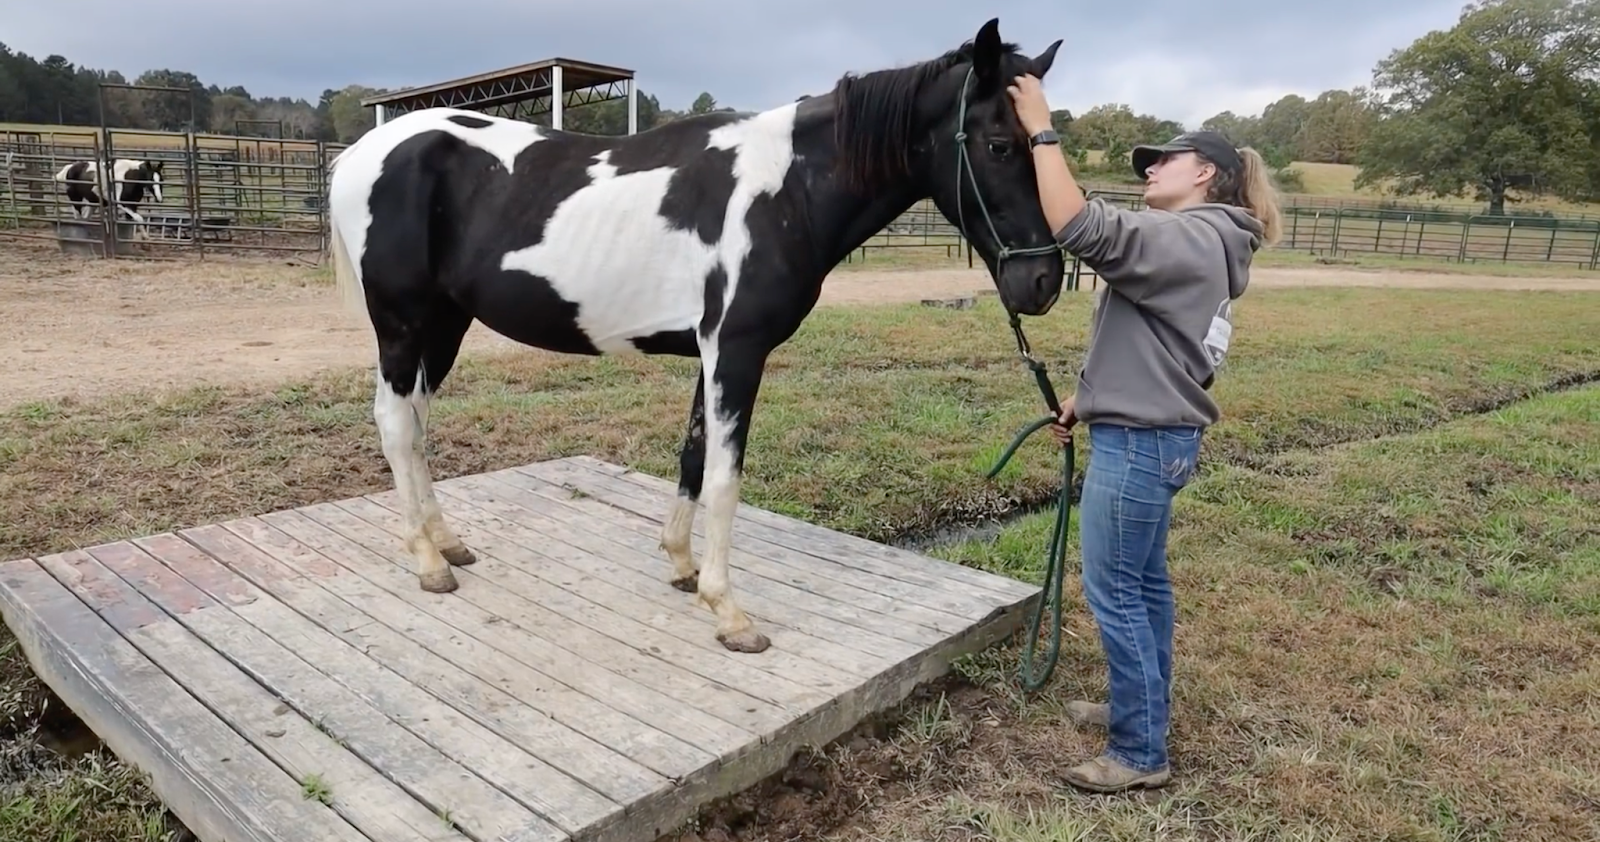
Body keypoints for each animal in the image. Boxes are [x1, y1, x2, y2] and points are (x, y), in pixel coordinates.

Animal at [325, 17, 1066, 654]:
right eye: (1000, 144)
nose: (1043, 283)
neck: (785, 190)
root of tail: (362, 153)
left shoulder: (710, 355)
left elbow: (691, 457)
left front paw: (682, 568)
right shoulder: (737, 351)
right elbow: (725, 479)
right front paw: (729, 612)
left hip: (444, 324)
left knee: (415, 425)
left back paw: (446, 542)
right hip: (403, 322)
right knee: (395, 423)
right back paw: (428, 561)